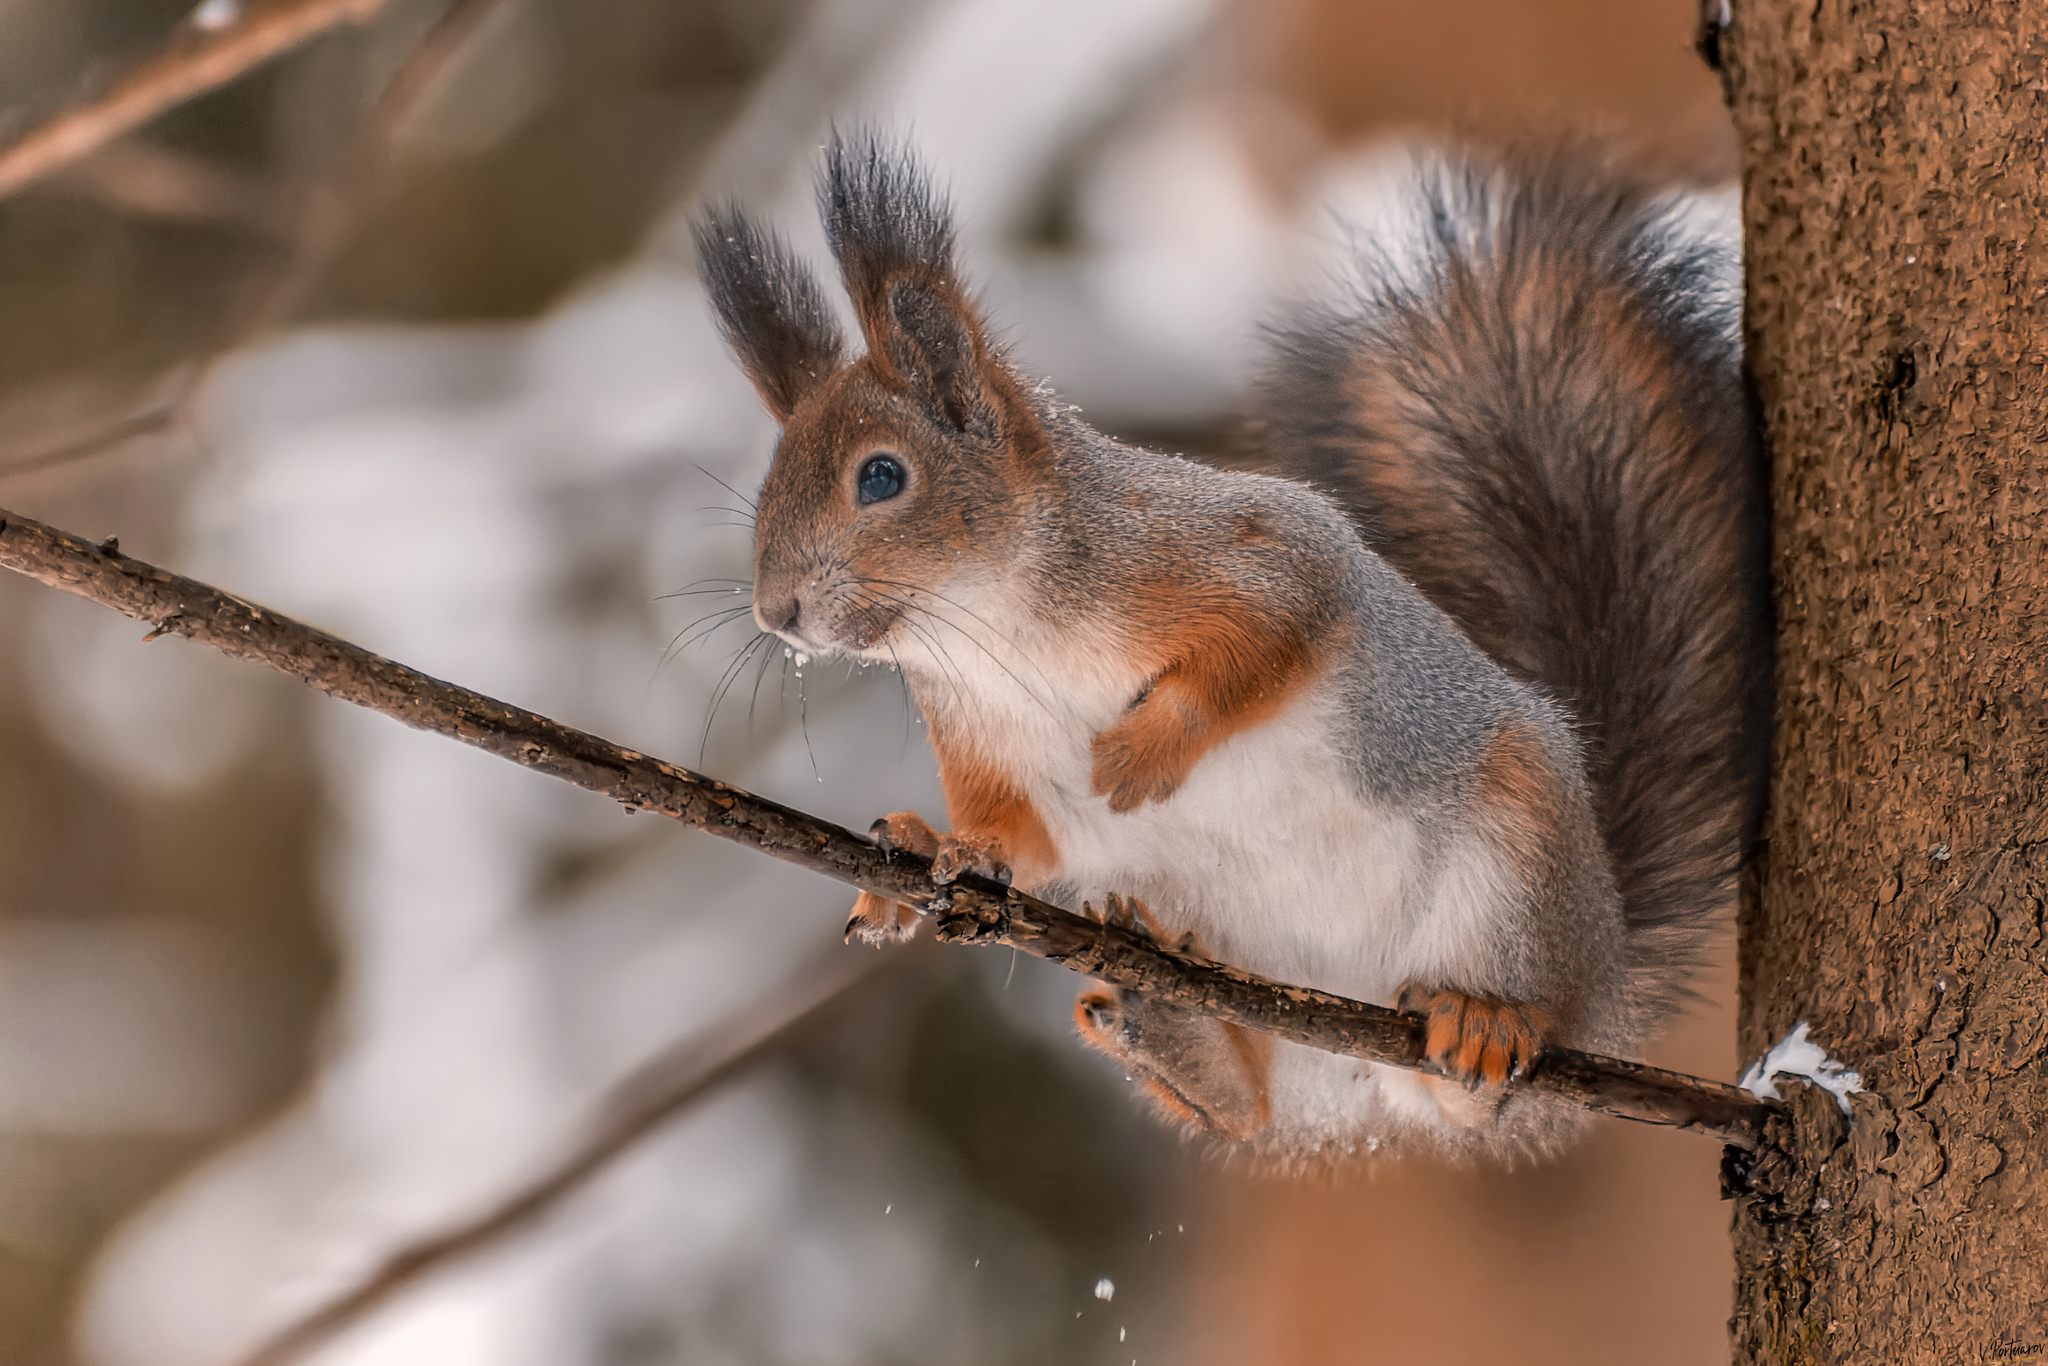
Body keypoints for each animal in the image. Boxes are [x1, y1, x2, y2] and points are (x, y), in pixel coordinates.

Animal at [692, 131, 1777, 1163]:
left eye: (881, 477)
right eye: (769, 481)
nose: (776, 612)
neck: (993, 627)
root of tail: (1606, 973)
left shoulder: (1246, 555)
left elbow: (1266, 641)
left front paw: (1141, 754)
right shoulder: (984, 736)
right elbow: (1022, 839)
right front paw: (932, 848)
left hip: (1514, 867)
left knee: (1476, 1093)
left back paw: (1482, 1023)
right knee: (1253, 1109)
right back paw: (1177, 1032)